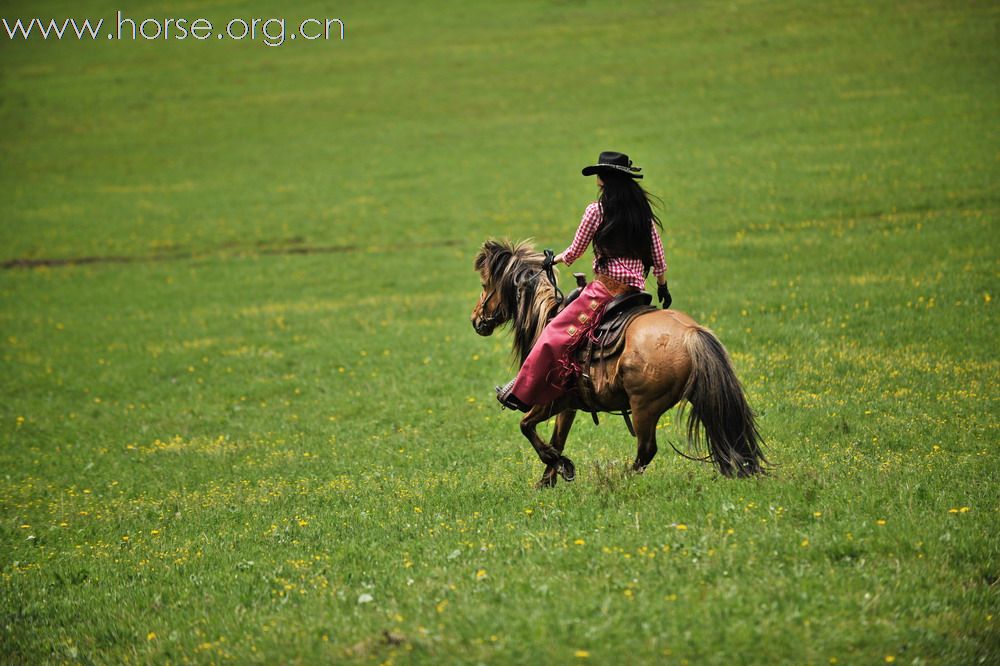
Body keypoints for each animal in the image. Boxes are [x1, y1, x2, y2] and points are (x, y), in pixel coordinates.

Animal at [472, 236, 768, 486]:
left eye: (485, 284)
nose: (476, 320)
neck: (546, 316)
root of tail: (691, 333)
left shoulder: (550, 399)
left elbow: (527, 427)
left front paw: (563, 466)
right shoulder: (568, 405)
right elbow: (557, 439)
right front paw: (547, 481)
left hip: (644, 407)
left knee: (646, 451)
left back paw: (617, 479)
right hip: (695, 394)